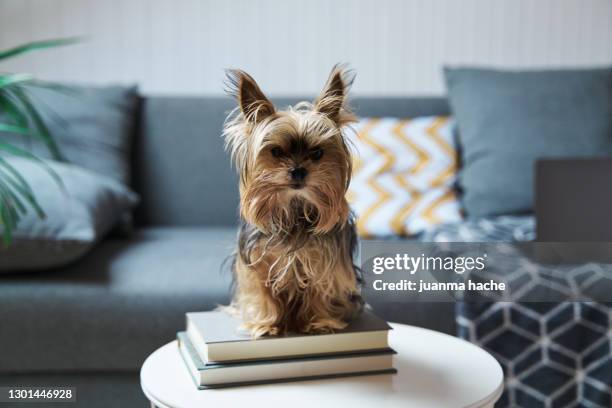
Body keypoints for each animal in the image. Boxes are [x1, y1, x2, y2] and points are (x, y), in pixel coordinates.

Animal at [222, 65, 360, 336]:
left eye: (317, 153)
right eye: (276, 152)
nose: (298, 171)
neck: (294, 210)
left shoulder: (325, 262)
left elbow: (321, 289)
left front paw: (319, 322)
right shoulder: (256, 262)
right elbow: (262, 293)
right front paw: (265, 324)